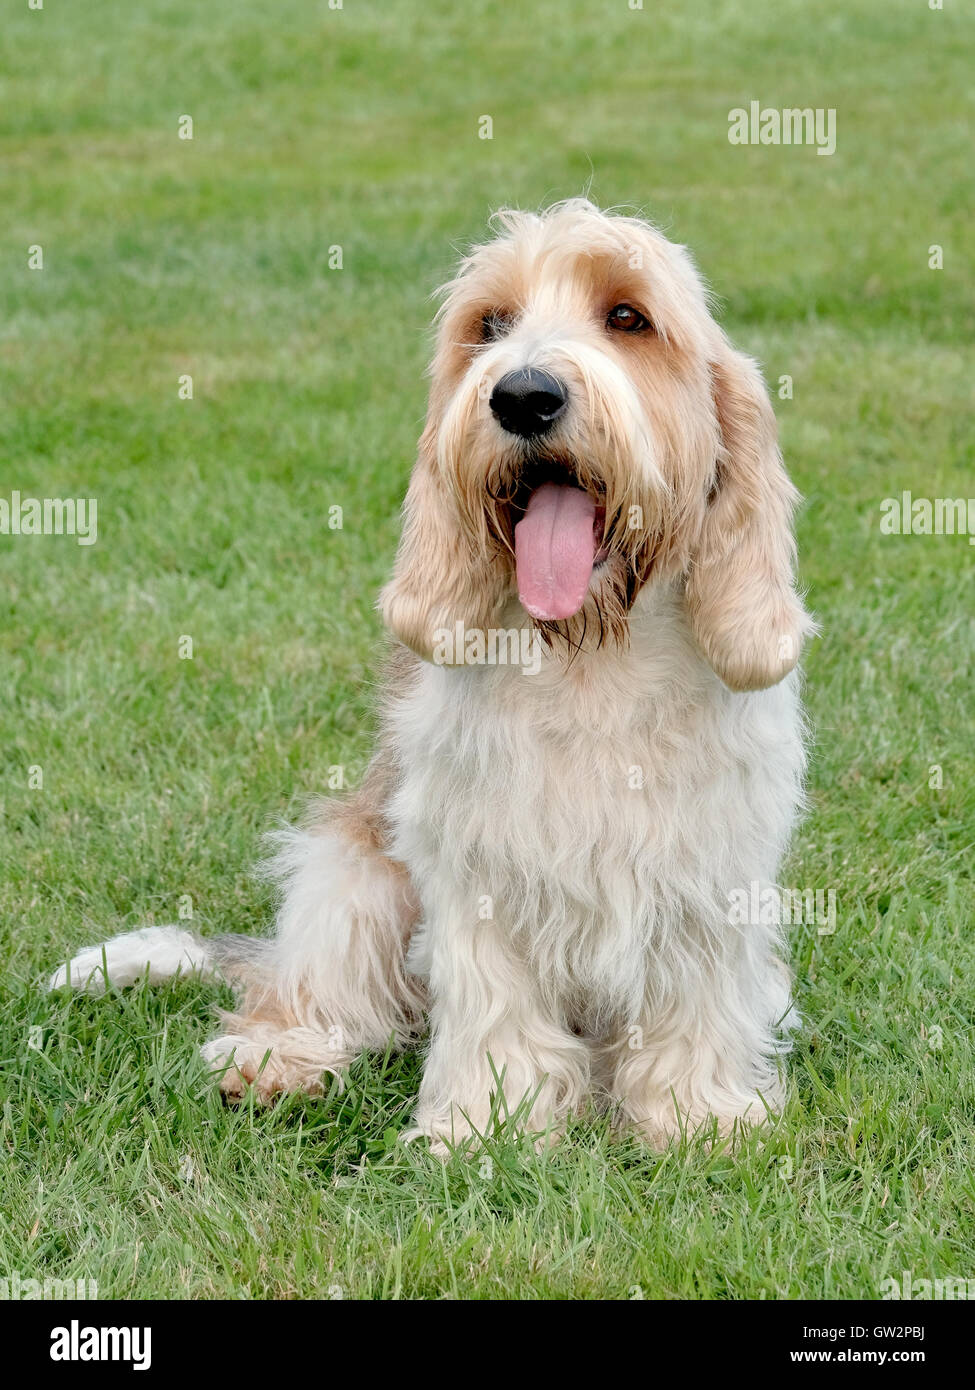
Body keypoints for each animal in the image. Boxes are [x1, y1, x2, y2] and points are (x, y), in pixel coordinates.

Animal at [55, 195, 812, 1150]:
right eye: (489, 325)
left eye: (627, 317)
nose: (522, 395)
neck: (589, 658)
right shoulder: (477, 868)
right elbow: (494, 1011)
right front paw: (487, 1128)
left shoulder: (709, 873)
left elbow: (693, 1005)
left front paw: (699, 1119)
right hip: (353, 881)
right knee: (302, 991)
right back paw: (275, 1062)